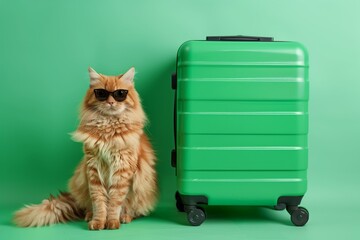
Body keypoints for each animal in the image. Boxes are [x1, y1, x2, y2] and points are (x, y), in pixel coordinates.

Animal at [14, 66, 158, 230]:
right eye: (101, 93)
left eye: (120, 94)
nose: (110, 102)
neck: (108, 128)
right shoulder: (93, 169)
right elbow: (99, 202)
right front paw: (98, 222)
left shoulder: (122, 170)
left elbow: (115, 202)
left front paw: (112, 222)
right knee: (88, 207)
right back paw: (89, 215)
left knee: (133, 210)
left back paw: (125, 217)